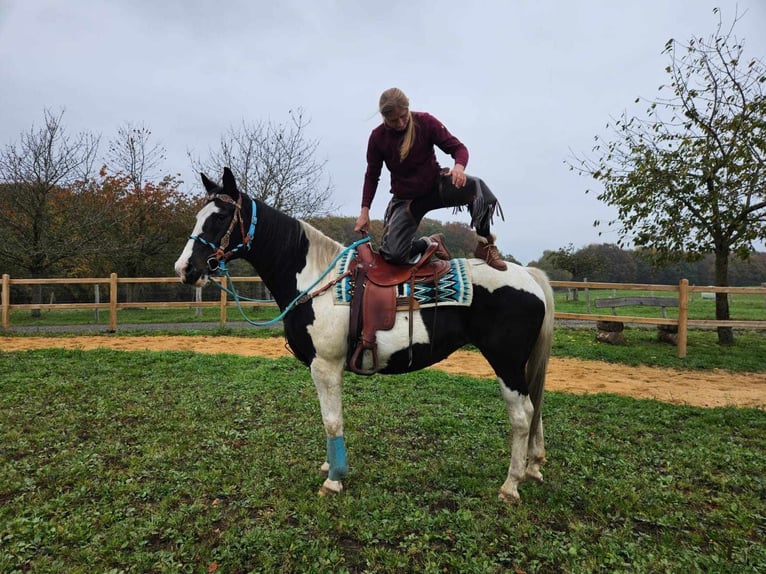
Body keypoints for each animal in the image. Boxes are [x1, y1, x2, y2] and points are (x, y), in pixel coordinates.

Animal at [176, 168, 556, 504]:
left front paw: (334, 480)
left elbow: (332, 421)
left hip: (506, 362)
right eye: (198, 216)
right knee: (535, 407)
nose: (186, 269)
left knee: (522, 415)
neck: (314, 280)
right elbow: (328, 421)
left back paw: (510, 486)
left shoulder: (326, 366)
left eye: (220, 217)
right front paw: (329, 466)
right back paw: (533, 468)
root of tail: (528, 276)